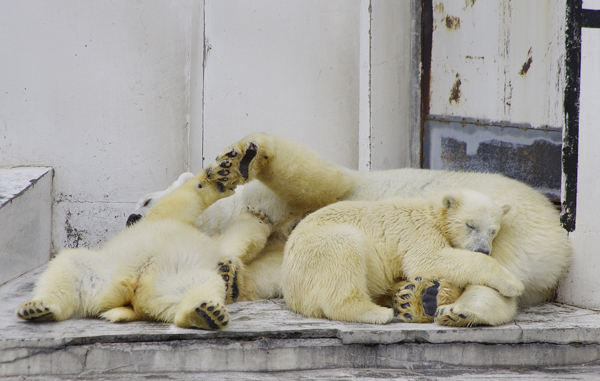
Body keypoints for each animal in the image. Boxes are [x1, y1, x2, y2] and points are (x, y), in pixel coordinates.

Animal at [15, 168, 274, 328]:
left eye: (147, 201)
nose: (132, 218)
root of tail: (129, 297)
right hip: (104, 272)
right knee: (70, 265)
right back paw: (38, 308)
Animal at [282, 187, 520, 324]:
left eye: (493, 230)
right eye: (470, 225)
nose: (483, 249)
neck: (432, 212)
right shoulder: (417, 230)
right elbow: (428, 259)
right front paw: (512, 283)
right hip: (317, 249)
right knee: (344, 251)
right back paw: (377, 312)